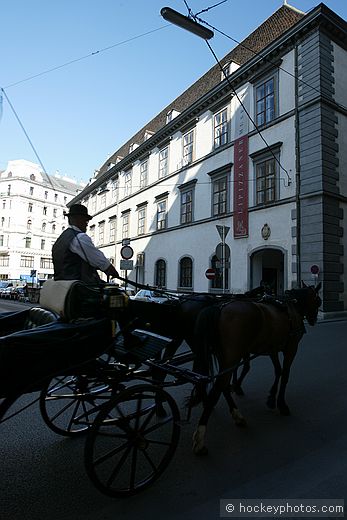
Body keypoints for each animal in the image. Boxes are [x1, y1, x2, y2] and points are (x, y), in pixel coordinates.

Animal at [192, 280, 322, 456]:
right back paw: (200, 438)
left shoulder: (273, 348)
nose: (314, 319)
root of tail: (220, 307)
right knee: (217, 390)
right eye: (318, 301)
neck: (292, 305)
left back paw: (237, 415)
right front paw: (282, 404)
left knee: (223, 385)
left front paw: (271, 398)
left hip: (224, 357)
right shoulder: (291, 347)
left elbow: (277, 371)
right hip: (233, 356)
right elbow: (285, 374)